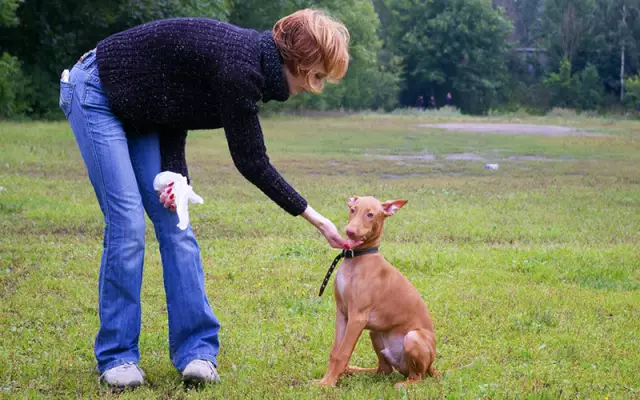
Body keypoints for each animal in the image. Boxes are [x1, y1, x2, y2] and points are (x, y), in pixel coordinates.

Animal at [318, 196, 438, 388]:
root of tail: (432, 365)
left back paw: (403, 385)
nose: (350, 232)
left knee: (417, 377)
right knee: (383, 370)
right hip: (374, 332)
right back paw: (353, 370)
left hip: (412, 338)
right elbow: (335, 351)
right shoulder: (342, 313)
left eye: (370, 215)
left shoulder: (357, 317)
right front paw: (329, 379)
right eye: (352, 209)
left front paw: (327, 383)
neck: (357, 258)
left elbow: (342, 353)